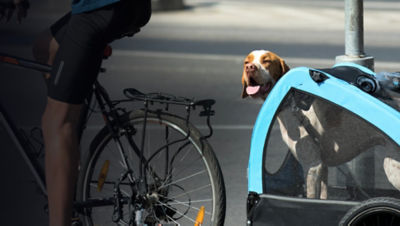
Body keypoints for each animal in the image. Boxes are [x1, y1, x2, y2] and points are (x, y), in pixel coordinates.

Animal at [241, 50, 400, 200]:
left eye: (266, 61)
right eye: (246, 62)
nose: (250, 67)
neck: (294, 110)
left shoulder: (313, 166)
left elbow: (311, 199)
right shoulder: (323, 167)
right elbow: (324, 195)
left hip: (392, 168)